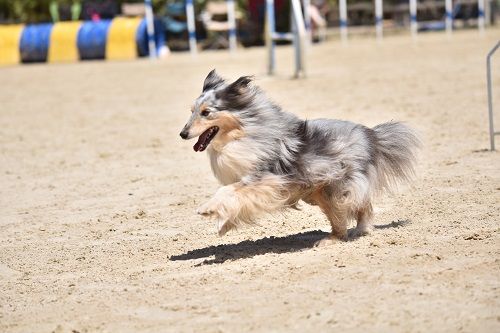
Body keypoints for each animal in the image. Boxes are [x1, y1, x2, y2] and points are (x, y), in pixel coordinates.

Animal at [178, 70, 420, 244]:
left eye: (206, 113)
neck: (244, 133)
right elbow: (236, 200)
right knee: (360, 207)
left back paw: (337, 238)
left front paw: (207, 209)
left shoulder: (264, 179)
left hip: (336, 188)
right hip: (322, 191)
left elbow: (227, 191)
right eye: (191, 111)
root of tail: (371, 134)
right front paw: (223, 227)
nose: (182, 134)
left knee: (355, 210)